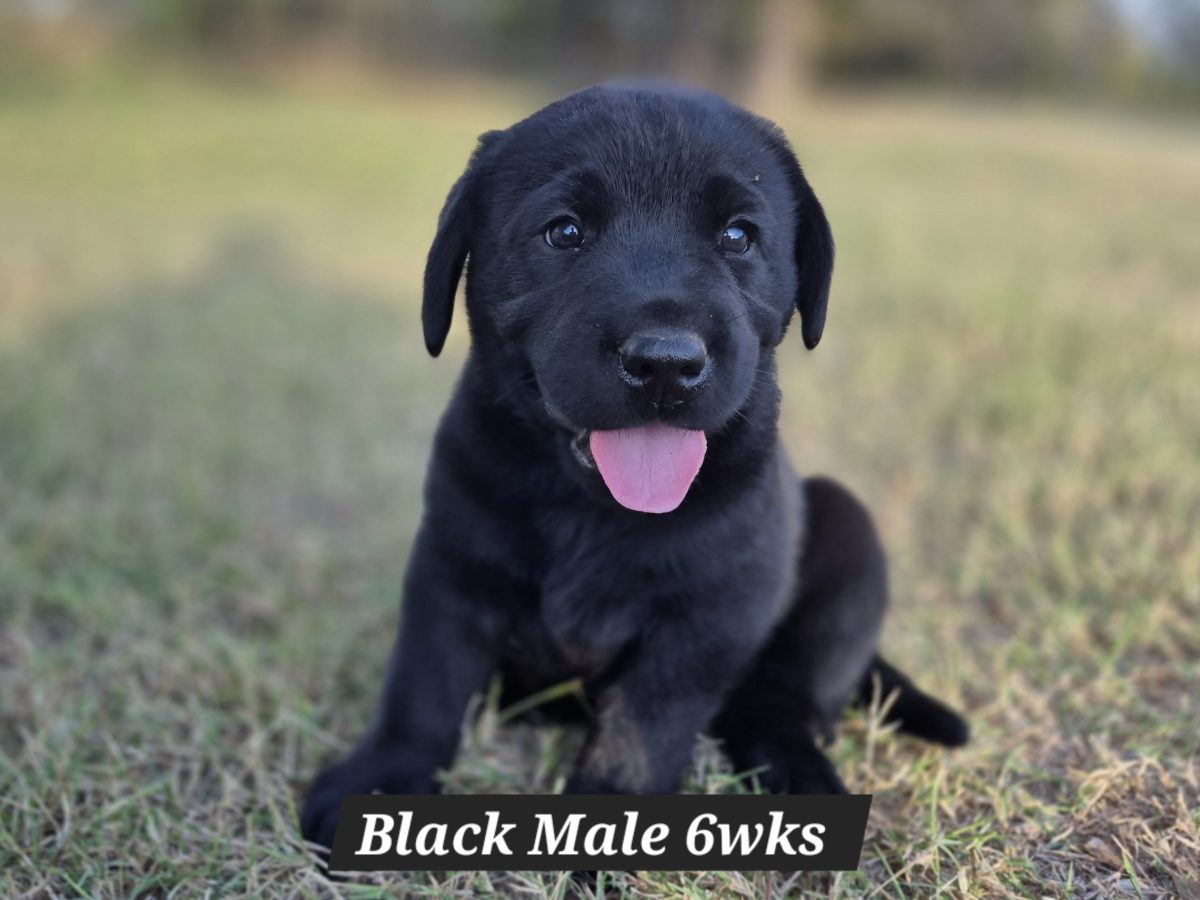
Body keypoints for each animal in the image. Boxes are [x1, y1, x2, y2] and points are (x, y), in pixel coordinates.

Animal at [300, 83, 967, 851]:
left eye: (738, 236)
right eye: (564, 233)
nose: (665, 363)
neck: (590, 505)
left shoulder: (710, 616)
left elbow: (644, 724)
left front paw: (610, 819)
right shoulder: (450, 568)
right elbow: (424, 683)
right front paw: (383, 775)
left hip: (845, 533)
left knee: (779, 701)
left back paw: (796, 773)